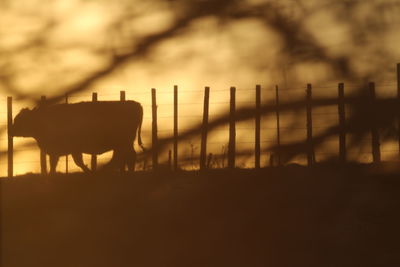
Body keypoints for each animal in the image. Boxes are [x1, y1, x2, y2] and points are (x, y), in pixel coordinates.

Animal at [12, 101, 144, 175]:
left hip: (123, 142)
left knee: (127, 156)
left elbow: (77, 162)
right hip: (122, 144)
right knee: (122, 157)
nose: (11, 130)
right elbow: (56, 164)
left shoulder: (72, 149)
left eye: (20, 119)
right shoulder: (60, 151)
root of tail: (136, 104)